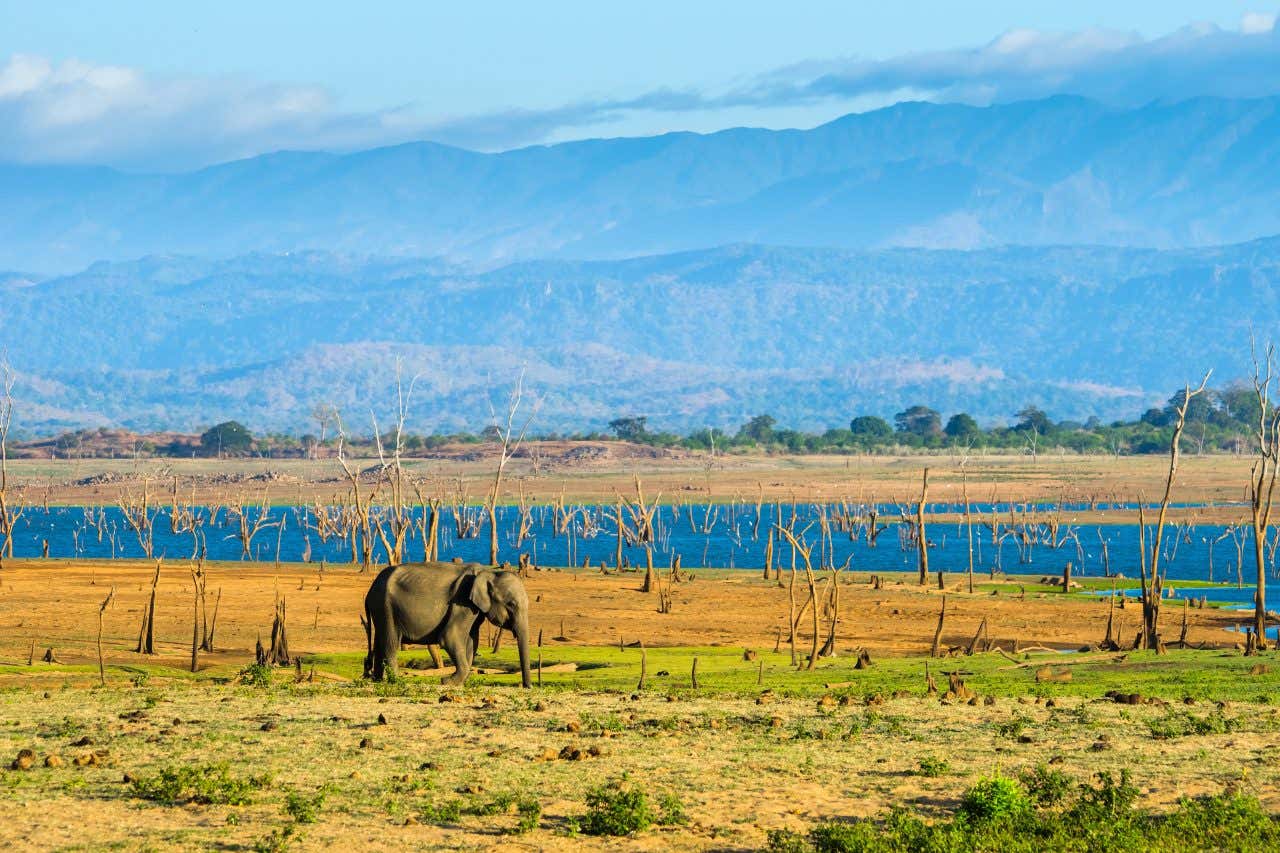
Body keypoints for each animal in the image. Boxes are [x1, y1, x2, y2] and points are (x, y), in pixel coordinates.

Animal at [360, 558, 529, 686]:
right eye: (511, 604)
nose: (527, 686)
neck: (489, 572)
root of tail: (369, 592)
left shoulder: (473, 609)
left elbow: (472, 641)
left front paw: (459, 682)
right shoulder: (462, 602)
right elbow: (450, 637)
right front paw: (447, 681)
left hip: (381, 610)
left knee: (380, 641)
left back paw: (378, 680)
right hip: (386, 607)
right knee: (391, 642)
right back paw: (396, 680)